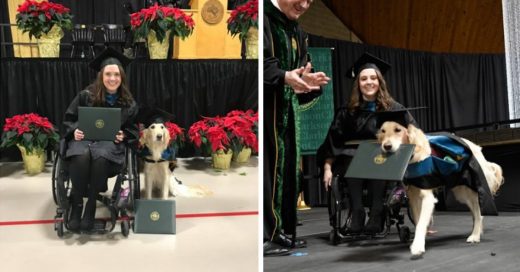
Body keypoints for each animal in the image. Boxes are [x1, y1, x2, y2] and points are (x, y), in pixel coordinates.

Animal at [378, 109, 504, 258]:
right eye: (382, 131)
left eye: (398, 130)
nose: (386, 146)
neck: (412, 155)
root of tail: (476, 148)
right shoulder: (413, 196)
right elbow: (418, 219)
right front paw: (419, 240)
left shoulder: (427, 197)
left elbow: (421, 222)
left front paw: (418, 246)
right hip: (461, 191)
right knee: (475, 213)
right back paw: (475, 231)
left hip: (468, 190)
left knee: (479, 213)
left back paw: (475, 235)